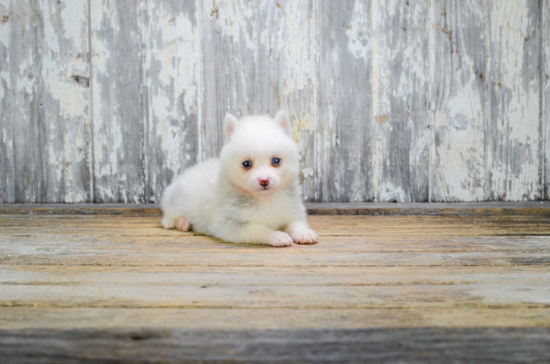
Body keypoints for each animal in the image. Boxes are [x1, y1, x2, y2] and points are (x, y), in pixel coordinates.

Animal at [161, 111, 320, 247]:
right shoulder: (231, 224)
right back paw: (177, 221)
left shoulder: (292, 211)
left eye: (276, 160)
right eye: (247, 164)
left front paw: (303, 233)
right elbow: (260, 228)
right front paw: (276, 235)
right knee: (169, 213)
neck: (266, 199)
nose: (264, 180)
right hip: (176, 197)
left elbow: (296, 223)